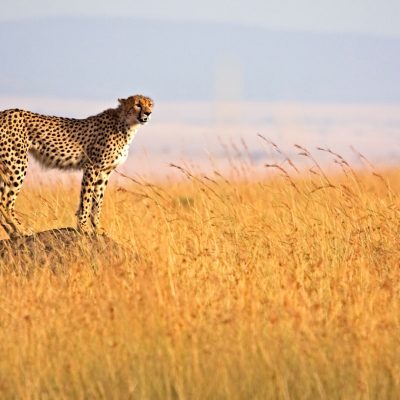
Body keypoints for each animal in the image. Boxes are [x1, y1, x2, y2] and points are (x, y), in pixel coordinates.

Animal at [0, 95, 154, 236]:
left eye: (150, 104)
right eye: (138, 104)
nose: (148, 113)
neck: (126, 124)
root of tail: (5, 112)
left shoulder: (105, 172)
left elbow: (98, 201)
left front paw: (97, 228)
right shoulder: (92, 166)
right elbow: (86, 198)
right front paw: (83, 227)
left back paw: (11, 231)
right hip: (18, 163)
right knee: (6, 201)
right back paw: (20, 229)